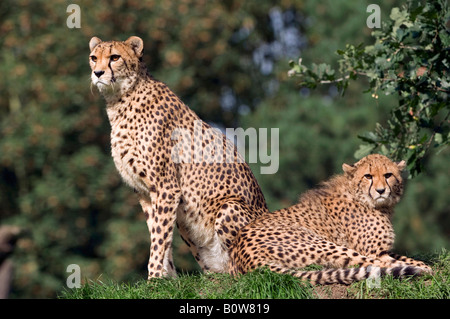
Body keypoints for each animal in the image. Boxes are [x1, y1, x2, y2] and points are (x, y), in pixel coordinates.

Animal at [89, 36, 268, 278]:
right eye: (93, 58)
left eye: (115, 57)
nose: (97, 73)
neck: (121, 99)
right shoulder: (146, 193)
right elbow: (159, 234)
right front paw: (168, 278)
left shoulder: (167, 187)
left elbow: (158, 238)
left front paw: (154, 277)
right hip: (187, 222)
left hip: (228, 207)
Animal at [230, 155, 430, 284]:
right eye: (368, 176)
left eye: (388, 175)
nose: (381, 190)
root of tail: (245, 258)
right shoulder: (375, 252)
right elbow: (390, 260)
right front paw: (423, 266)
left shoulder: (382, 250)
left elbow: (404, 256)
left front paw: (420, 262)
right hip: (321, 243)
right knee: (370, 264)